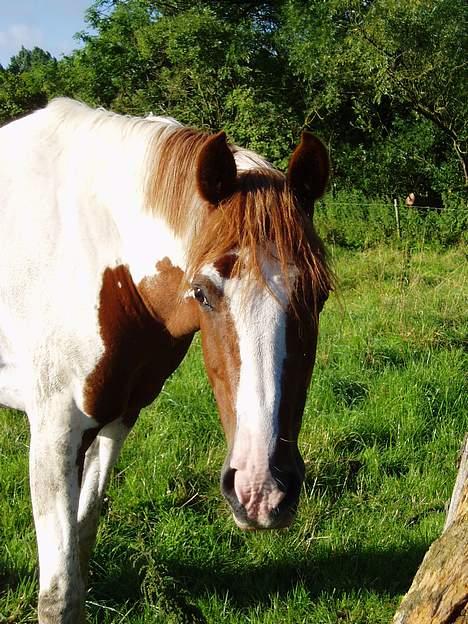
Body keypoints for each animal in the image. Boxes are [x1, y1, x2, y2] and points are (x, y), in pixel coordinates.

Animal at [0, 100, 332, 620]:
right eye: (202, 293)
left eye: (318, 297)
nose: (261, 489)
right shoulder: (53, 433)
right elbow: (58, 595)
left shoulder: (117, 417)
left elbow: (84, 540)